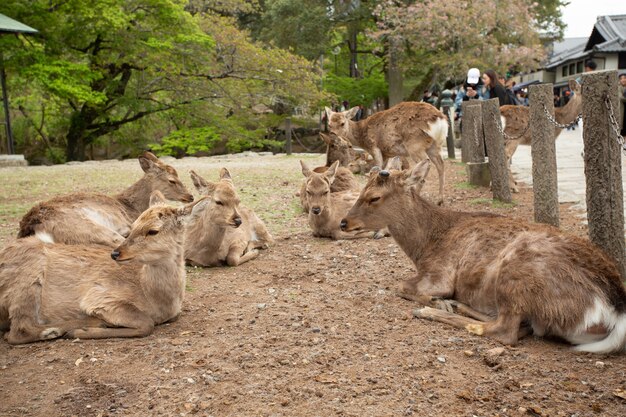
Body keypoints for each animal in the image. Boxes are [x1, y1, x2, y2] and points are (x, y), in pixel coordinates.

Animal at [0, 190, 208, 342]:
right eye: (133, 225)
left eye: (153, 231)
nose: (115, 253)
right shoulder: (99, 296)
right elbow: (146, 323)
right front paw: (81, 330)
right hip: (28, 278)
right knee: (18, 331)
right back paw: (66, 328)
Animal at [338, 158, 624, 352]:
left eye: (374, 197)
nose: (343, 222)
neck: (424, 247)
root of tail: (613, 309)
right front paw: (443, 302)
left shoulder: (440, 274)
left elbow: (403, 286)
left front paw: (435, 301)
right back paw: (457, 305)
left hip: (518, 270)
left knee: (505, 330)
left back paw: (430, 310)